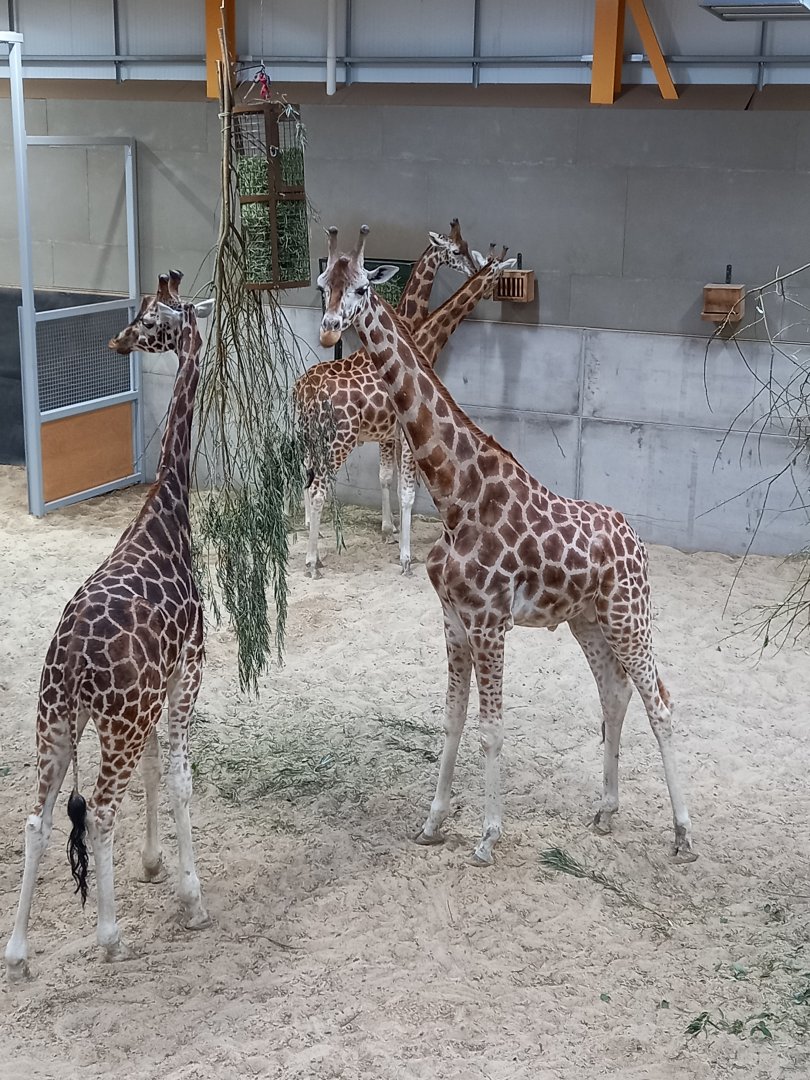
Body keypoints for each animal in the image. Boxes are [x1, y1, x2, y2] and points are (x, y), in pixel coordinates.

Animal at [5, 271, 214, 981]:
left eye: (149, 317)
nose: (119, 339)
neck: (168, 513)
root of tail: (70, 658)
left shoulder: (154, 694)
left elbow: (156, 771)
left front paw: (154, 866)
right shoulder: (188, 674)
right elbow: (178, 777)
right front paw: (191, 897)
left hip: (55, 720)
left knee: (37, 821)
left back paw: (18, 954)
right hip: (111, 722)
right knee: (96, 813)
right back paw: (110, 936)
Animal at [297, 222, 506, 576]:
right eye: (456, 251)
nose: (475, 272)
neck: (422, 335)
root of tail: (304, 391)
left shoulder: (390, 434)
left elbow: (388, 479)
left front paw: (389, 529)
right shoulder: (406, 436)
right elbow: (406, 490)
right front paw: (404, 554)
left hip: (309, 438)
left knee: (304, 475)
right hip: (337, 442)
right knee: (317, 489)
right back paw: (313, 560)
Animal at [317, 226, 696, 866]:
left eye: (365, 286)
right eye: (323, 282)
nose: (326, 330)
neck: (456, 497)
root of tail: (635, 537)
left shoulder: (490, 622)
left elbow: (492, 728)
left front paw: (488, 837)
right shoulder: (452, 619)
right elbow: (452, 719)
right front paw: (433, 822)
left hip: (630, 616)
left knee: (661, 702)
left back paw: (683, 833)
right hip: (588, 621)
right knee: (614, 695)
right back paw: (606, 810)